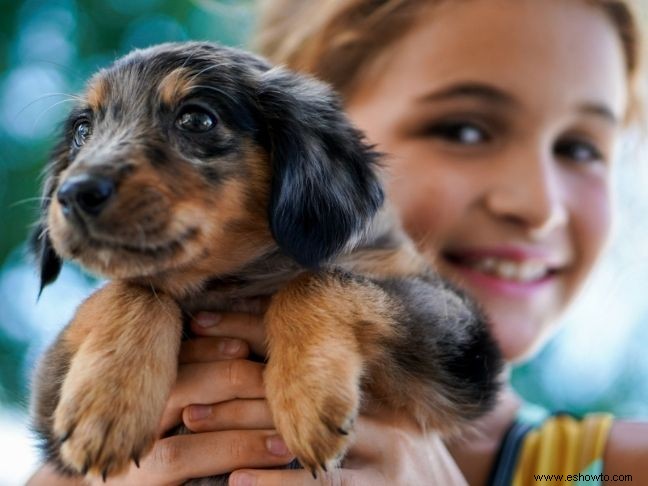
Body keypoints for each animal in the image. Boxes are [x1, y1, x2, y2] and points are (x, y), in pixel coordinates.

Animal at [30, 41, 504, 482]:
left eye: (196, 119)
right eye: (83, 130)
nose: (74, 193)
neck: (232, 280)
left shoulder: (459, 352)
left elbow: (318, 280)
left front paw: (307, 393)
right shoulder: (48, 398)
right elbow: (131, 288)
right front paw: (106, 404)